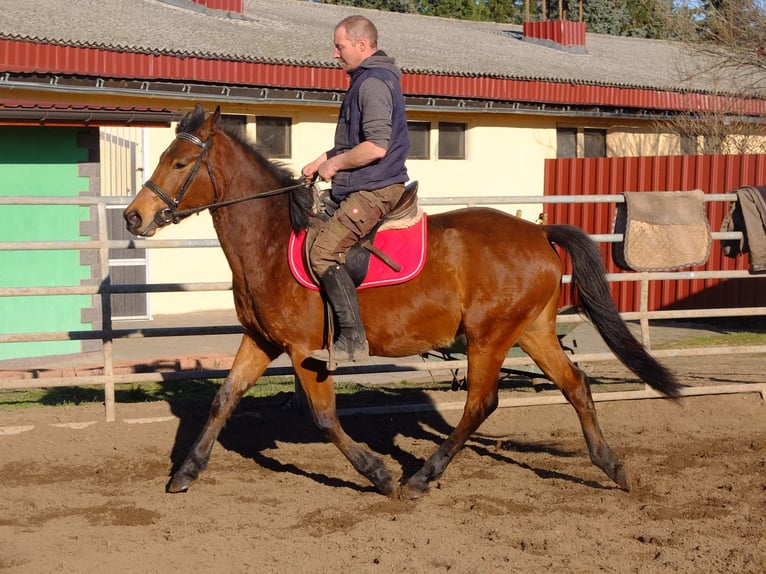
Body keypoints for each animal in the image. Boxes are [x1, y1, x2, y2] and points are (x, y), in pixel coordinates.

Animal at [126, 106, 684, 502]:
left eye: (179, 163)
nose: (134, 216)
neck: (268, 240)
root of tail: (538, 231)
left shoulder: (305, 350)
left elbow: (322, 417)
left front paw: (377, 474)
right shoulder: (261, 340)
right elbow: (224, 399)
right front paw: (185, 472)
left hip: (489, 337)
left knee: (481, 403)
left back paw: (421, 478)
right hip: (531, 331)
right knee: (575, 386)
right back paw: (612, 466)